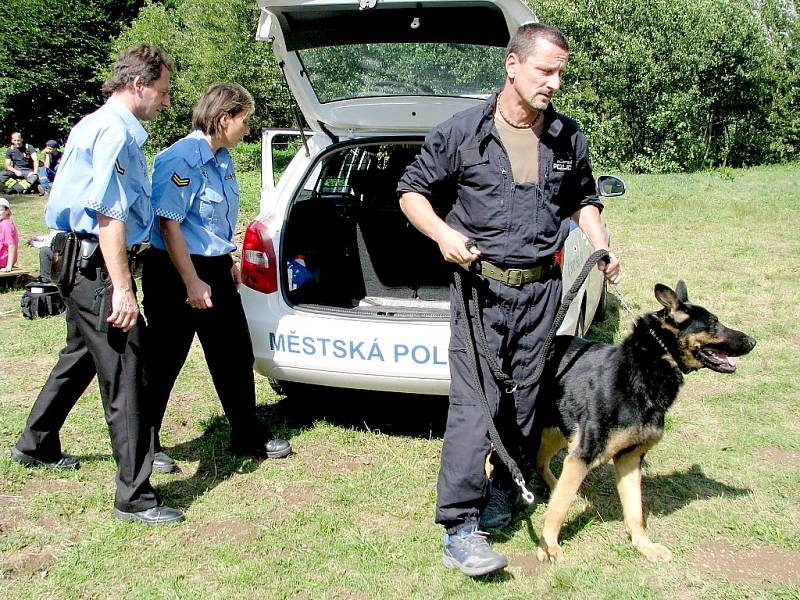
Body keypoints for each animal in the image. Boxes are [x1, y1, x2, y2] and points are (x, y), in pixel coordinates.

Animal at [536, 282, 752, 564]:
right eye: (713, 324)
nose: (753, 341)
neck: (648, 366)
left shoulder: (629, 458)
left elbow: (635, 511)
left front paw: (643, 545)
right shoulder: (583, 454)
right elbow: (557, 511)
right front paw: (548, 546)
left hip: (559, 432)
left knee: (541, 463)